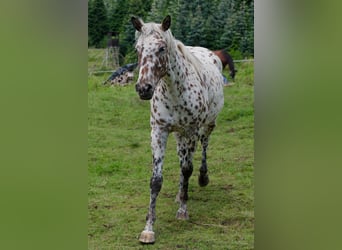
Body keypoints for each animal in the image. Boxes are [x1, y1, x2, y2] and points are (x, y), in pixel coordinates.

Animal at [131, 14, 224, 243]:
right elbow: (156, 180)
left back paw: (201, 179)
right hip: (179, 136)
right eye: (138, 48)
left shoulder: (190, 130)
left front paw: (183, 211)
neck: (174, 91)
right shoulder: (159, 131)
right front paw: (148, 229)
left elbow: (186, 169)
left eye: (162, 48)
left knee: (202, 149)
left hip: (205, 126)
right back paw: (179, 194)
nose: (144, 88)